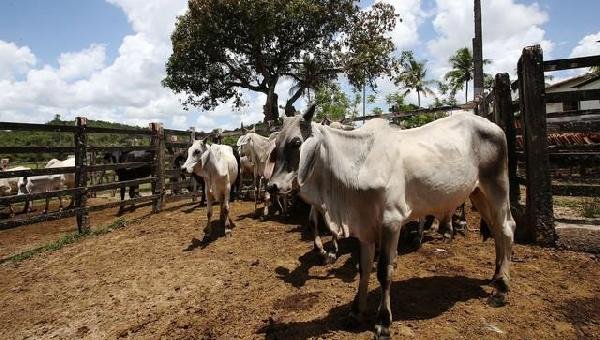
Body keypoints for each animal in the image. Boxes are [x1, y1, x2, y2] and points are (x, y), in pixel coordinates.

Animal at [268, 105, 516, 338]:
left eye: (296, 142)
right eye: (276, 144)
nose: (272, 186)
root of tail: (492, 125)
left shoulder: (391, 222)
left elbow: (384, 271)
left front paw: (383, 322)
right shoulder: (365, 226)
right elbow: (364, 268)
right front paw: (355, 313)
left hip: (497, 186)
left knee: (507, 228)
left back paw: (502, 289)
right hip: (477, 192)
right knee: (496, 230)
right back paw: (496, 277)